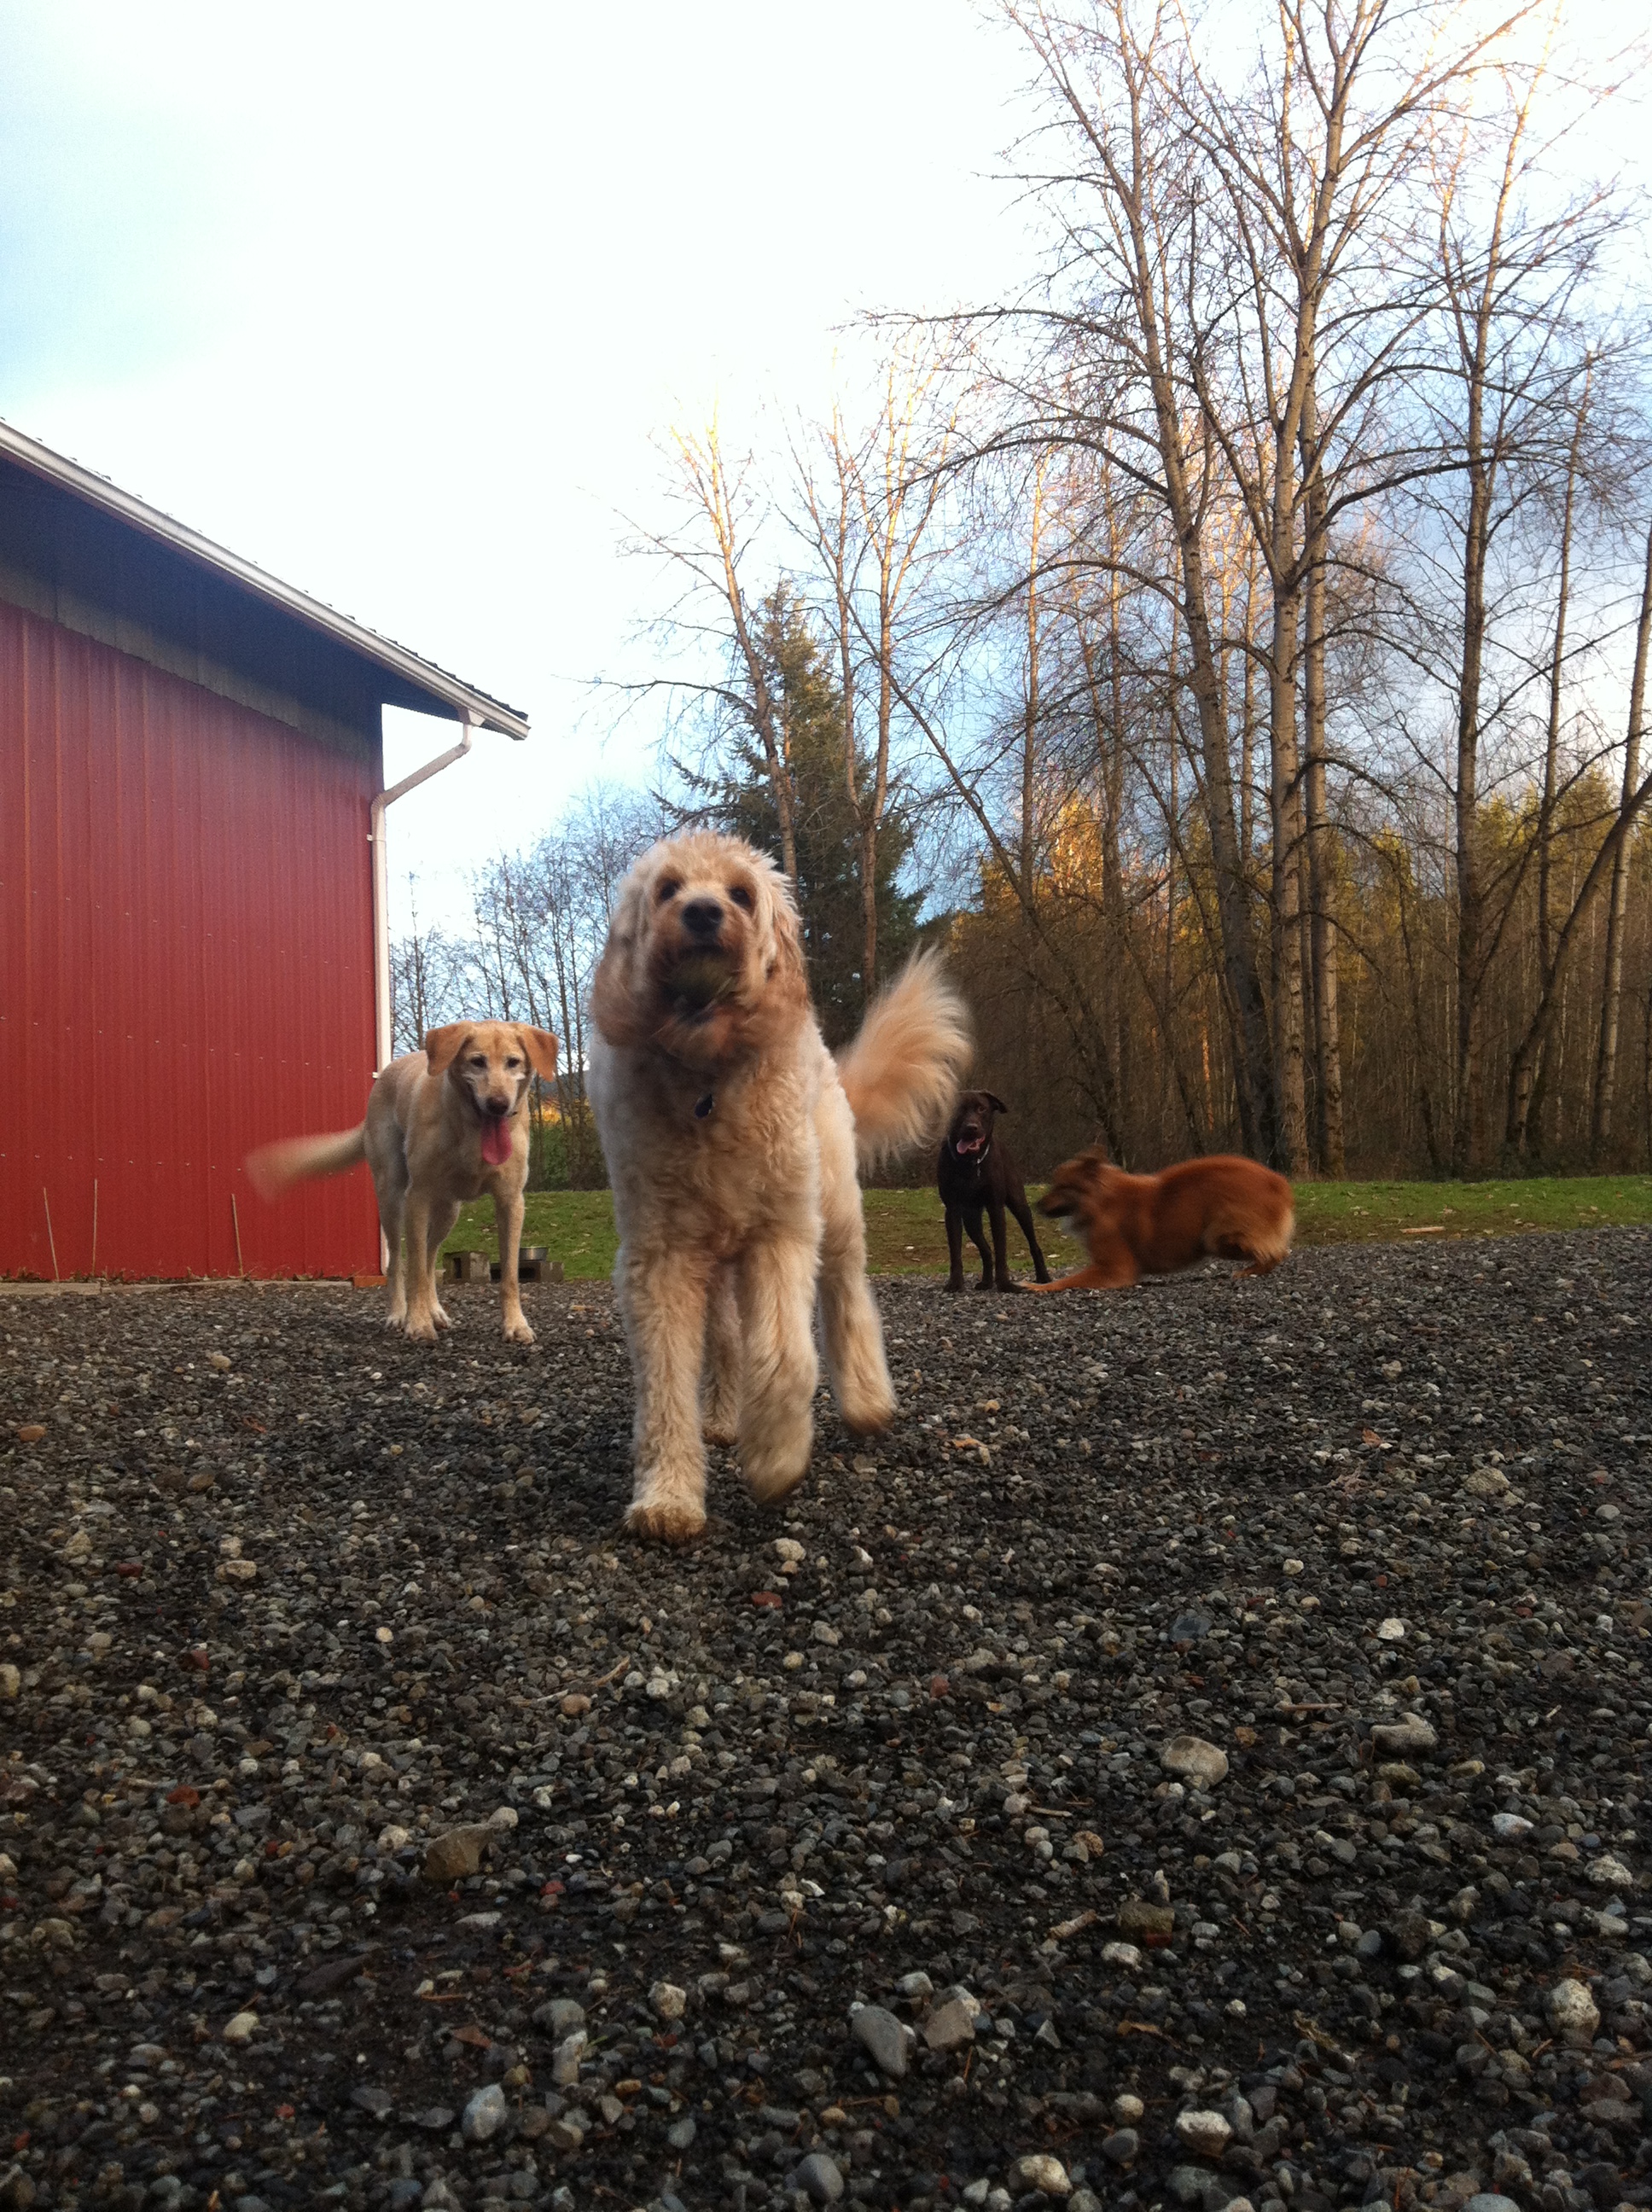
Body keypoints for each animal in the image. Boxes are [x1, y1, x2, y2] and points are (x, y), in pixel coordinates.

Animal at [246, 1019, 559, 1343]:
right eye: (477, 1061)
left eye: (513, 1062)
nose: (498, 1104)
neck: (471, 1130)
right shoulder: (417, 1197)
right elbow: (415, 1271)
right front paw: (417, 1322)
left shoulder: (511, 1201)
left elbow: (509, 1274)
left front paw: (515, 1325)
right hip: (391, 1198)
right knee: (398, 1261)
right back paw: (398, 1314)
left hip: (448, 1210)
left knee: (431, 1257)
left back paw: (435, 1311)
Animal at [588, 830, 970, 1543]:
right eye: (668, 889)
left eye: (741, 894)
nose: (703, 912)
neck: (709, 1076)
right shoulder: (661, 1260)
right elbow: (664, 1387)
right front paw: (668, 1497)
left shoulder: (783, 1233)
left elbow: (789, 1358)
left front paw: (775, 1463)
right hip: (715, 1262)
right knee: (726, 1340)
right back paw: (721, 1417)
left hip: (836, 1214)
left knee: (847, 1299)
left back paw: (867, 1399)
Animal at [938, 1090, 1051, 1291]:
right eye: (958, 1109)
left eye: (981, 1108)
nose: (971, 1127)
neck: (970, 1163)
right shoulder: (952, 1210)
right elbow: (955, 1251)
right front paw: (955, 1283)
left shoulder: (995, 1208)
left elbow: (1001, 1248)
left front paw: (1005, 1283)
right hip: (971, 1220)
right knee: (985, 1249)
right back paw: (986, 1281)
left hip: (1019, 1205)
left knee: (1033, 1244)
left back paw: (1043, 1276)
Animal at [1029, 1146, 1293, 1290]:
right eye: (1054, 1184)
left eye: (1062, 1186)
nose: (1035, 1205)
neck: (1100, 1202)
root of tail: (1277, 1182)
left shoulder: (1114, 1268)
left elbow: (1066, 1281)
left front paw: (1033, 1286)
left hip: (1218, 1237)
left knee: (1276, 1253)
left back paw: (1247, 1271)